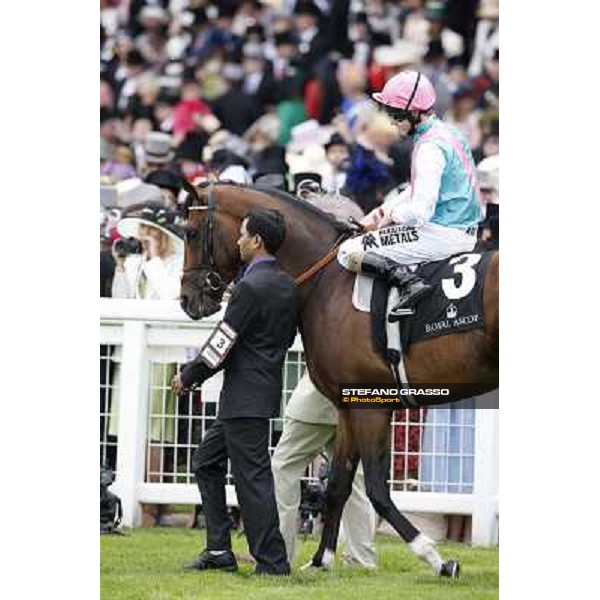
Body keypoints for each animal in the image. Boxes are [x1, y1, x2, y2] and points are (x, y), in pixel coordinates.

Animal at [180, 182, 500, 576]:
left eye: (191, 232)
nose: (187, 298)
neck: (327, 281)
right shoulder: (348, 407)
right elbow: (337, 485)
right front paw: (321, 559)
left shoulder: (370, 406)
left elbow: (377, 489)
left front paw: (434, 556)